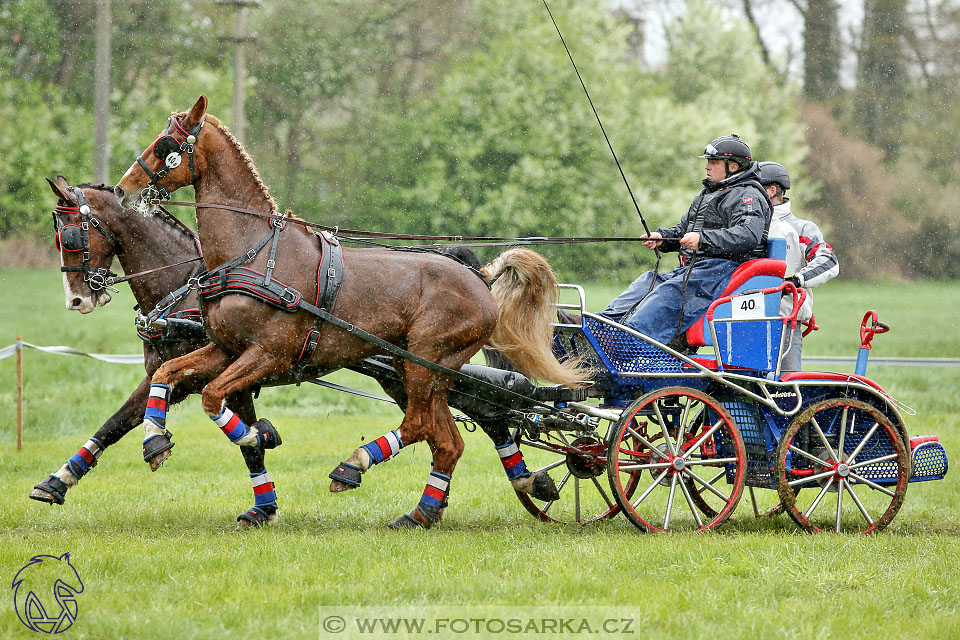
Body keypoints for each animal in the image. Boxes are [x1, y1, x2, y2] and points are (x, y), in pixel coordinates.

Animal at [114, 94, 584, 524]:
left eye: (167, 143)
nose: (123, 188)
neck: (254, 253)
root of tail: (482, 278)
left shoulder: (268, 354)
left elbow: (213, 397)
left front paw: (255, 437)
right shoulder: (225, 350)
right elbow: (166, 373)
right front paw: (155, 441)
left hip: (425, 361)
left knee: (420, 425)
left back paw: (354, 466)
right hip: (419, 370)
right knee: (446, 440)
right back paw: (421, 513)